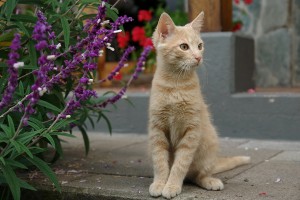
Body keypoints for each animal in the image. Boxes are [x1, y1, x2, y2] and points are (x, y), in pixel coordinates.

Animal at [148, 12, 251, 198]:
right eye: (184, 46)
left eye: (200, 46)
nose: (198, 57)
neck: (176, 84)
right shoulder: (157, 129)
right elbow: (160, 161)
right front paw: (160, 183)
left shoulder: (192, 130)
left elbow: (180, 164)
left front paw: (172, 185)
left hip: (208, 146)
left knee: (199, 174)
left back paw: (210, 181)